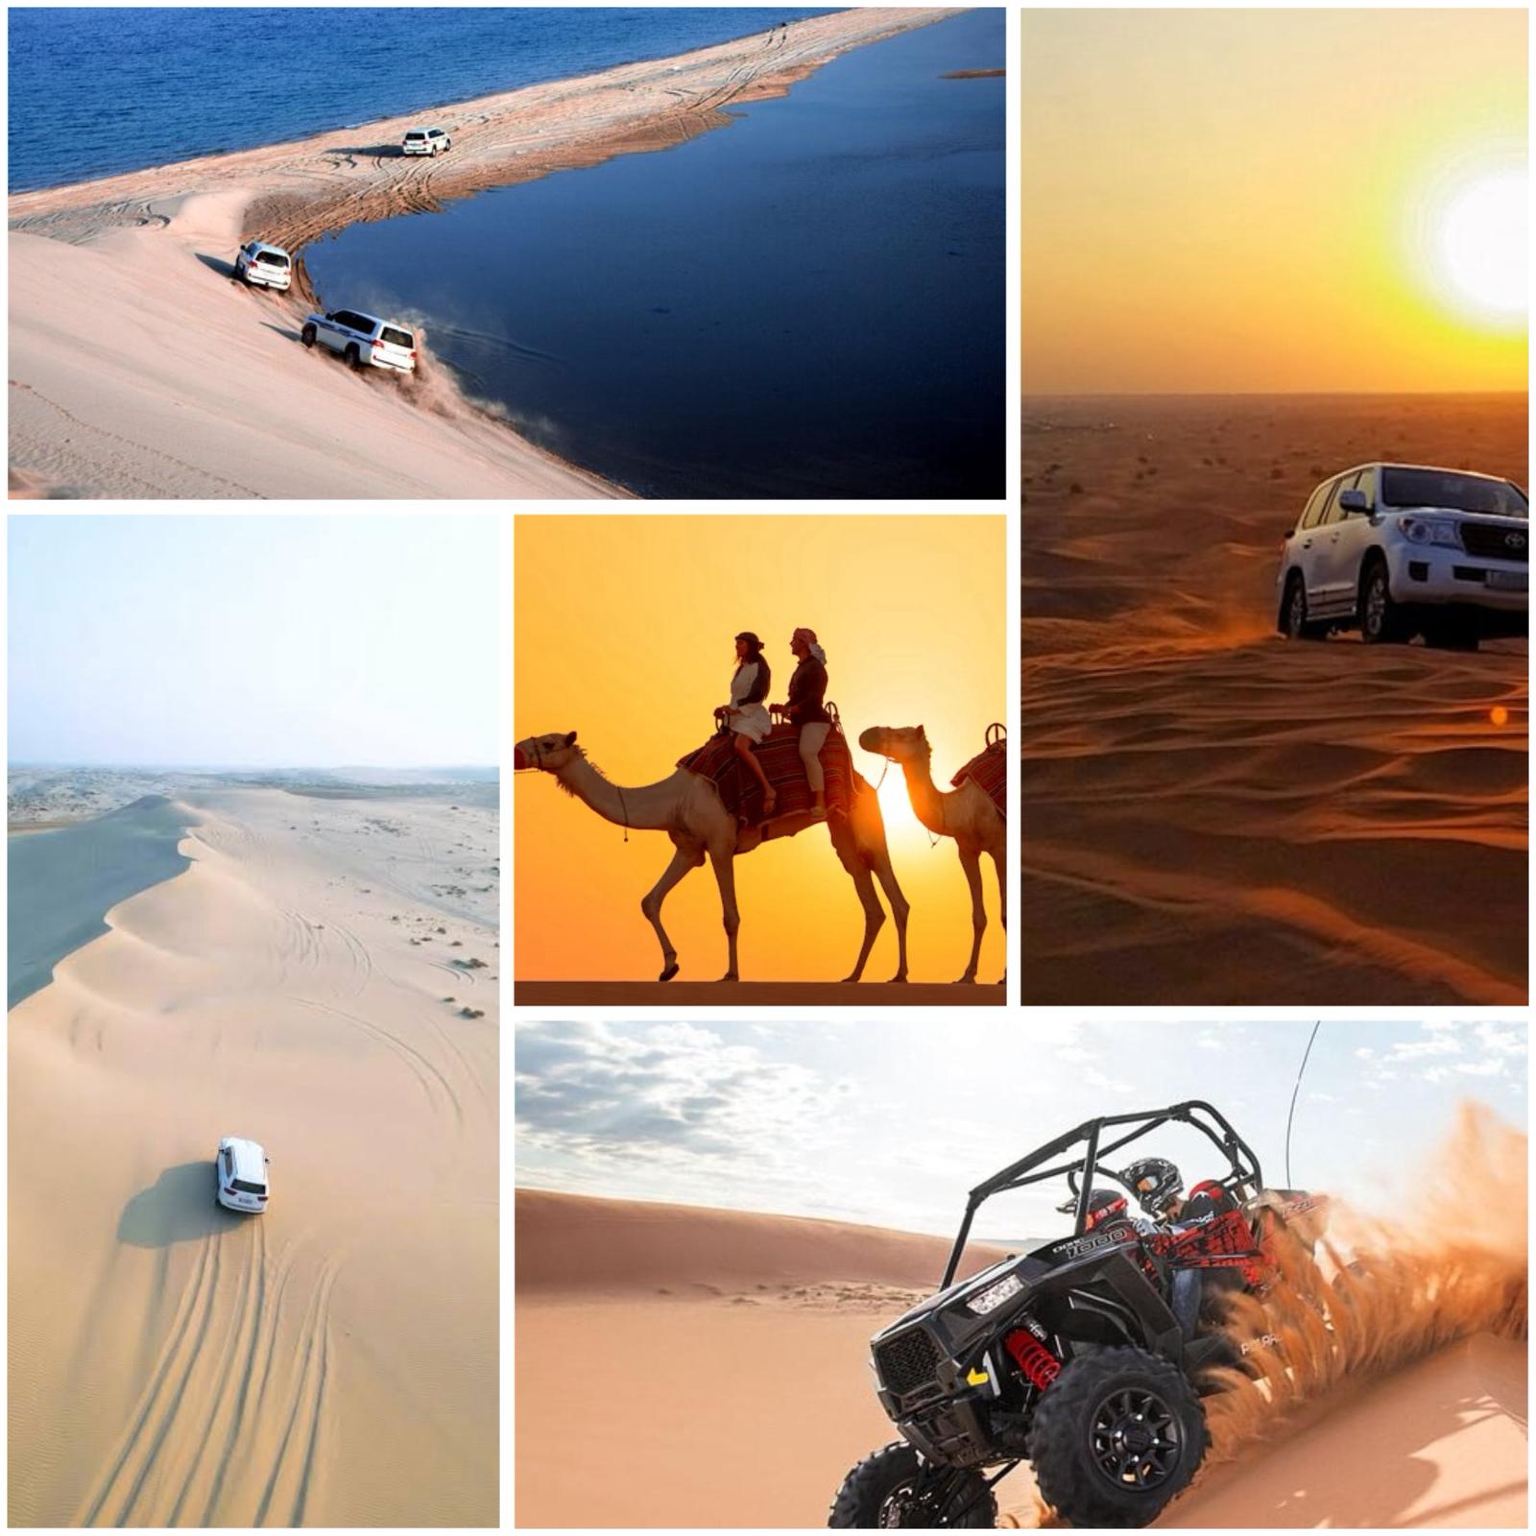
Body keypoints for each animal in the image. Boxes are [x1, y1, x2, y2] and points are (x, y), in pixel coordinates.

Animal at [514, 730, 909, 983]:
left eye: (548, 742)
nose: (517, 751)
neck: (672, 800)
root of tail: (864, 781)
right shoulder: (689, 849)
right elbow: (650, 901)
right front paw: (669, 967)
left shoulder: (721, 843)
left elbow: (730, 916)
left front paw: (731, 974)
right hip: (842, 833)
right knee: (868, 896)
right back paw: (854, 975)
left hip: (865, 821)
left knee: (894, 893)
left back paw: (900, 975)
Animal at [858, 725, 1006, 985]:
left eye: (900, 734)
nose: (867, 734)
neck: (963, 808)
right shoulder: (967, 852)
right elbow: (978, 916)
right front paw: (967, 975)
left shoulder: (1000, 848)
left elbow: (1006, 914)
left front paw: (1004, 977)